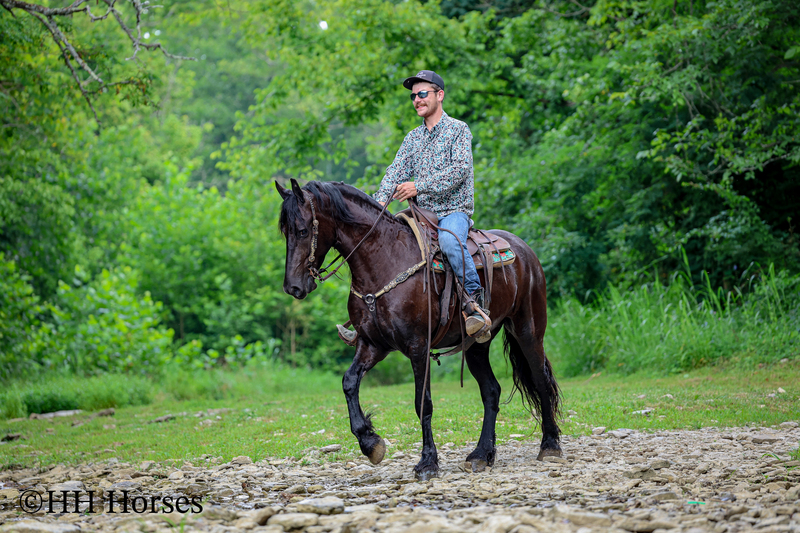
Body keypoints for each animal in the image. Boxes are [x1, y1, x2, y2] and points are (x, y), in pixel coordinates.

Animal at [275, 178, 562, 480]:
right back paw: (481, 454)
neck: (385, 260)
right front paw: (370, 442)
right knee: (491, 391)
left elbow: (422, 403)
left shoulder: (418, 347)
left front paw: (427, 462)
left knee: (540, 380)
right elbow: (349, 382)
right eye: (285, 232)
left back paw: (550, 446)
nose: (293, 287)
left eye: (303, 230)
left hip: (528, 331)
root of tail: (525, 251)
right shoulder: (373, 344)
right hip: (477, 345)